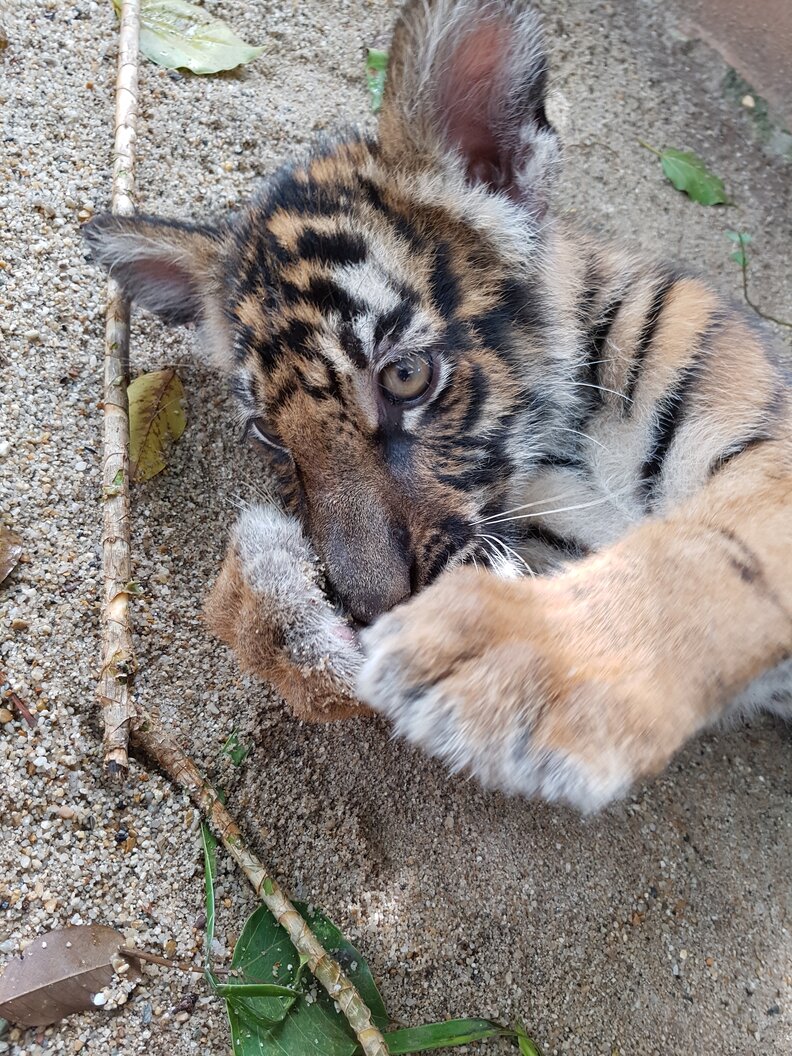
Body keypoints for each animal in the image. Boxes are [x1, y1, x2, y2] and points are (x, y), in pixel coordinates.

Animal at [85, 0, 792, 811]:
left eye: (404, 378)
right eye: (271, 437)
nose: (368, 609)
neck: (565, 438)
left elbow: (696, 555)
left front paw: (521, 665)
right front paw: (288, 613)